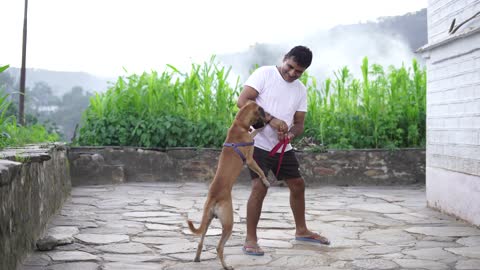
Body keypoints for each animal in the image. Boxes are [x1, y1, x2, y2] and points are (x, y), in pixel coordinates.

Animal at [188, 100, 270, 268]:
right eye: (262, 113)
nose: (267, 120)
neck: (239, 124)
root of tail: (213, 198)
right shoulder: (250, 160)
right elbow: (261, 171)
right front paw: (265, 181)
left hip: (207, 221)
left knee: (200, 242)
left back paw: (197, 258)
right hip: (228, 223)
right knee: (219, 247)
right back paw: (226, 266)